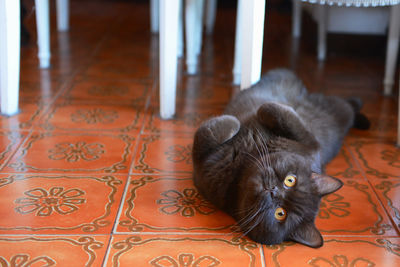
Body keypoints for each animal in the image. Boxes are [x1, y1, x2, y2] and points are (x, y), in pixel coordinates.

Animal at [192, 68, 370, 248]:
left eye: (280, 213)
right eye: (290, 180)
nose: (273, 191)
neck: (244, 163)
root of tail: (306, 91)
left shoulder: (204, 169)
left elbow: (210, 132)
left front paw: (232, 122)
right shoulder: (310, 145)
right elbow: (283, 114)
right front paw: (265, 107)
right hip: (330, 105)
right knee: (347, 103)